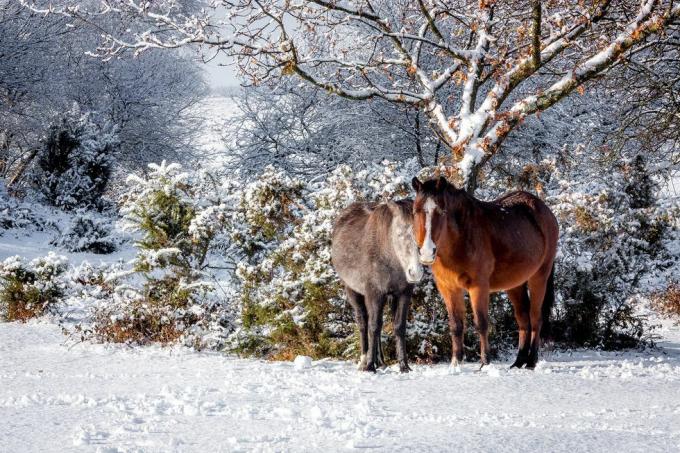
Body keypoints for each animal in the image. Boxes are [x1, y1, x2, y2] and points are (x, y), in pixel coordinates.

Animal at [412, 175, 556, 370]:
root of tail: (545, 210)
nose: (427, 252)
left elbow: (481, 323)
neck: (461, 239)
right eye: (415, 211)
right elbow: (456, 325)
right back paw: (518, 361)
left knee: (535, 317)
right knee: (523, 319)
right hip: (515, 284)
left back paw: (531, 361)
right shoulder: (449, 289)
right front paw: (455, 363)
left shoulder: (478, 287)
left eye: (442, 211)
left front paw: (485, 363)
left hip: (539, 277)